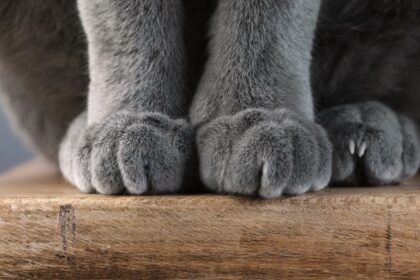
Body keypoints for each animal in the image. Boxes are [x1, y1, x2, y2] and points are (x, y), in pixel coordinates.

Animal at [0, 0, 418, 198]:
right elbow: (124, 24)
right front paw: (134, 125)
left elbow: (268, 19)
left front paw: (258, 116)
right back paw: (82, 135)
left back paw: (367, 126)